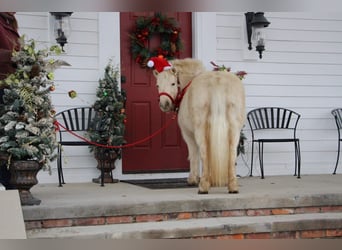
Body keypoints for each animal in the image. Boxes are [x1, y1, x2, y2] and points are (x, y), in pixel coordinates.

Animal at [151, 58, 244, 193]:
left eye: (173, 84)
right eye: (157, 85)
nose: (165, 104)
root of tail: (218, 81)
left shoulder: (188, 134)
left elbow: (193, 154)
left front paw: (193, 179)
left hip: (200, 129)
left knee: (204, 151)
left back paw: (203, 186)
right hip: (234, 128)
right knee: (231, 152)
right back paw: (232, 185)